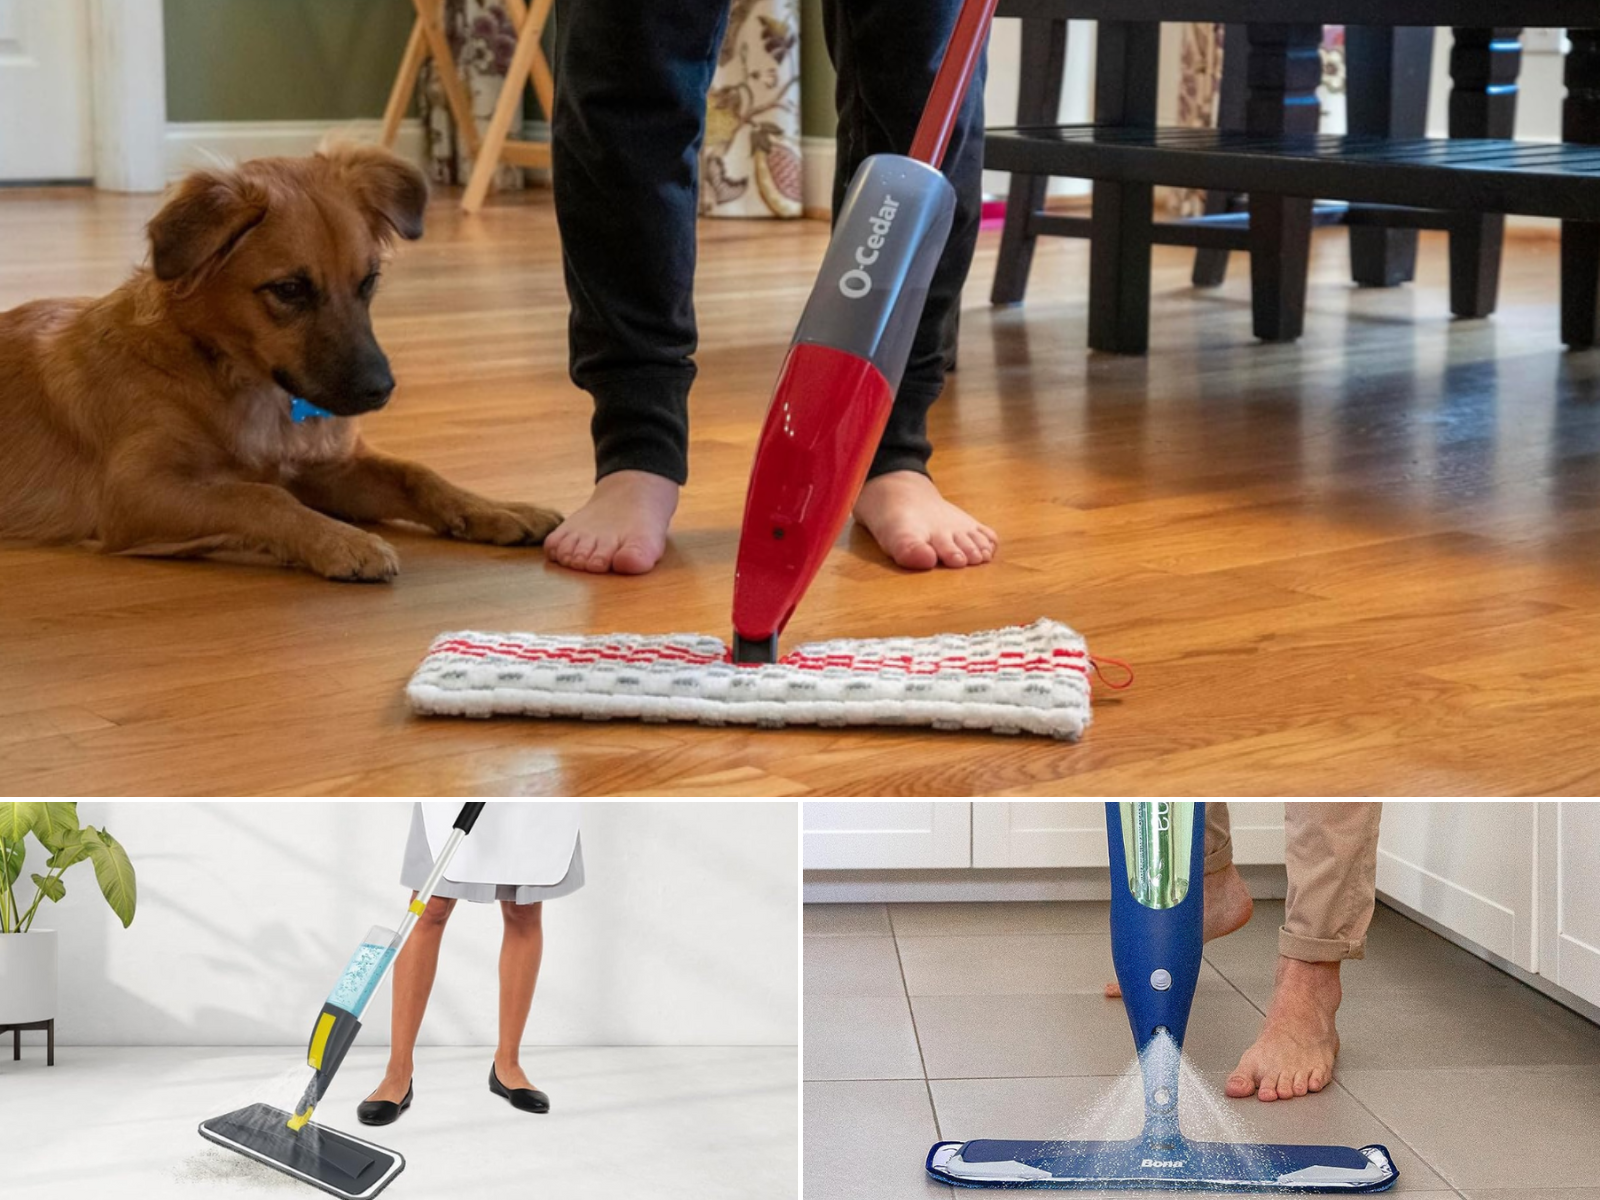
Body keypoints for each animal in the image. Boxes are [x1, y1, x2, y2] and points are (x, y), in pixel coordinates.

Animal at [0, 143, 563, 579]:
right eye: (289, 290)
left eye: (368, 280)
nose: (379, 390)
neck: (219, 367)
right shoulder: (133, 493)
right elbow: (257, 497)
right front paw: (341, 541)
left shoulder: (323, 469)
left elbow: (416, 473)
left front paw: (497, 508)